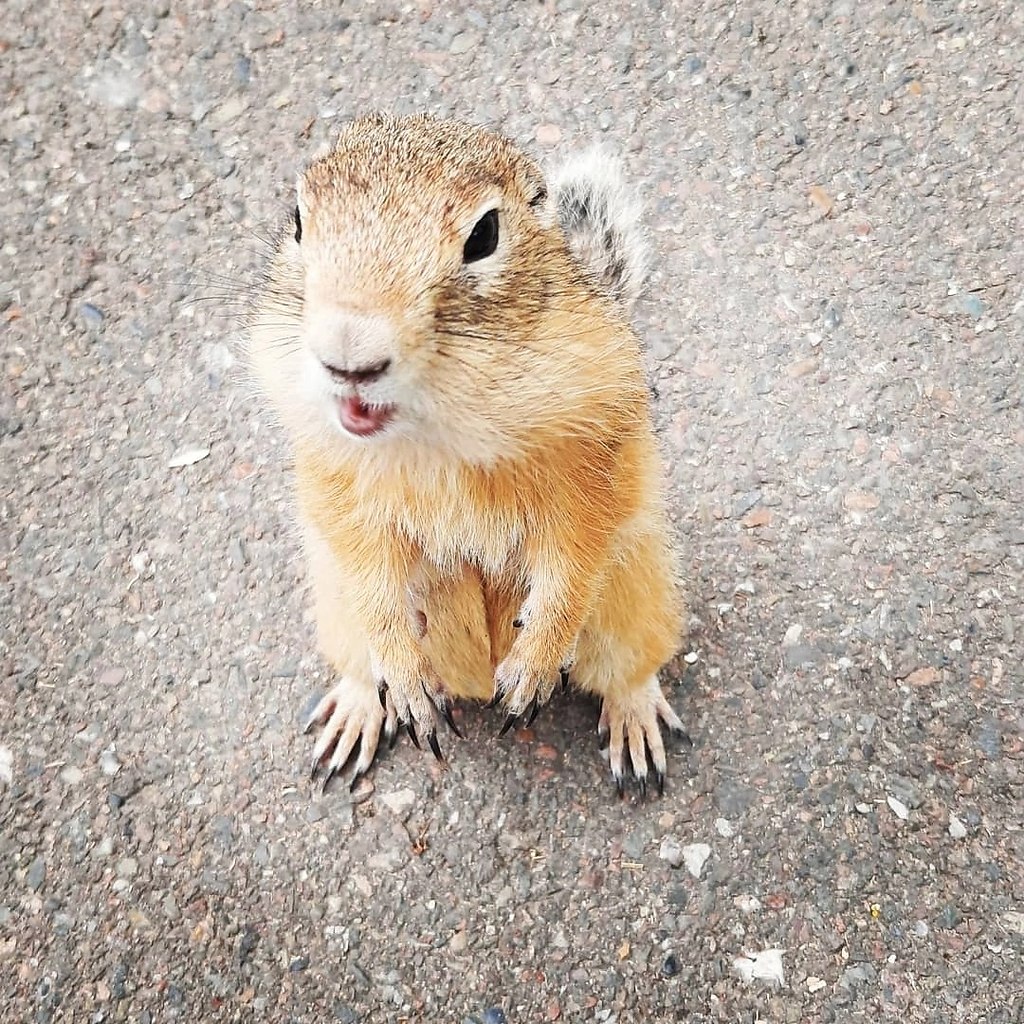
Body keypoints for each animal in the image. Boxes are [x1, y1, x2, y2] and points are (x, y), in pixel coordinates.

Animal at [249, 114, 688, 798]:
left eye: (485, 235)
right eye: (297, 219)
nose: (349, 358)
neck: (435, 424)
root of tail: (474, 681)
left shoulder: (591, 456)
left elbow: (575, 554)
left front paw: (535, 662)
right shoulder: (336, 480)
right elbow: (369, 569)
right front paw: (402, 677)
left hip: (634, 602)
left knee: (630, 670)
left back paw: (633, 720)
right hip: (337, 612)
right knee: (361, 657)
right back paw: (361, 706)